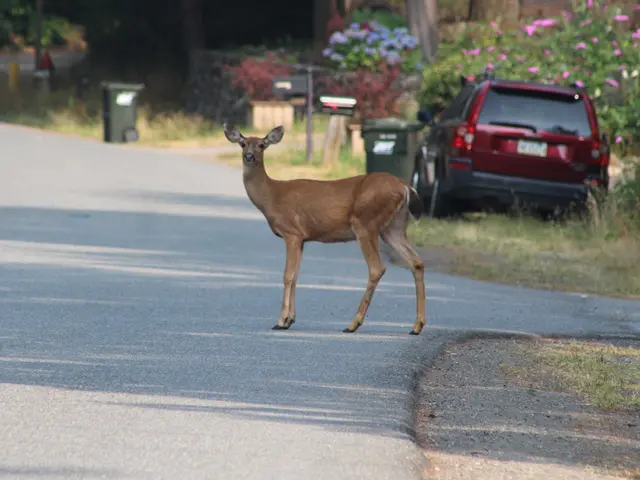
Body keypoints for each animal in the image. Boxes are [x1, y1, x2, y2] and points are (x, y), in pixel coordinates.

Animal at [223, 123, 427, 335]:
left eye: (262, 145)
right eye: (243, 143)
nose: (249, 156)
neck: (271, 196)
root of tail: (404, 187)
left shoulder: (291, 232)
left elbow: (287, 275)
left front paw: (281, 321)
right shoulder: (302, 238)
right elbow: (296, 276)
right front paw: (290, 319)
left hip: (366, 223)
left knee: (377, 268)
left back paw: (353, 324)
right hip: (393, 227)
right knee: (417, 262)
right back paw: (417, 326)